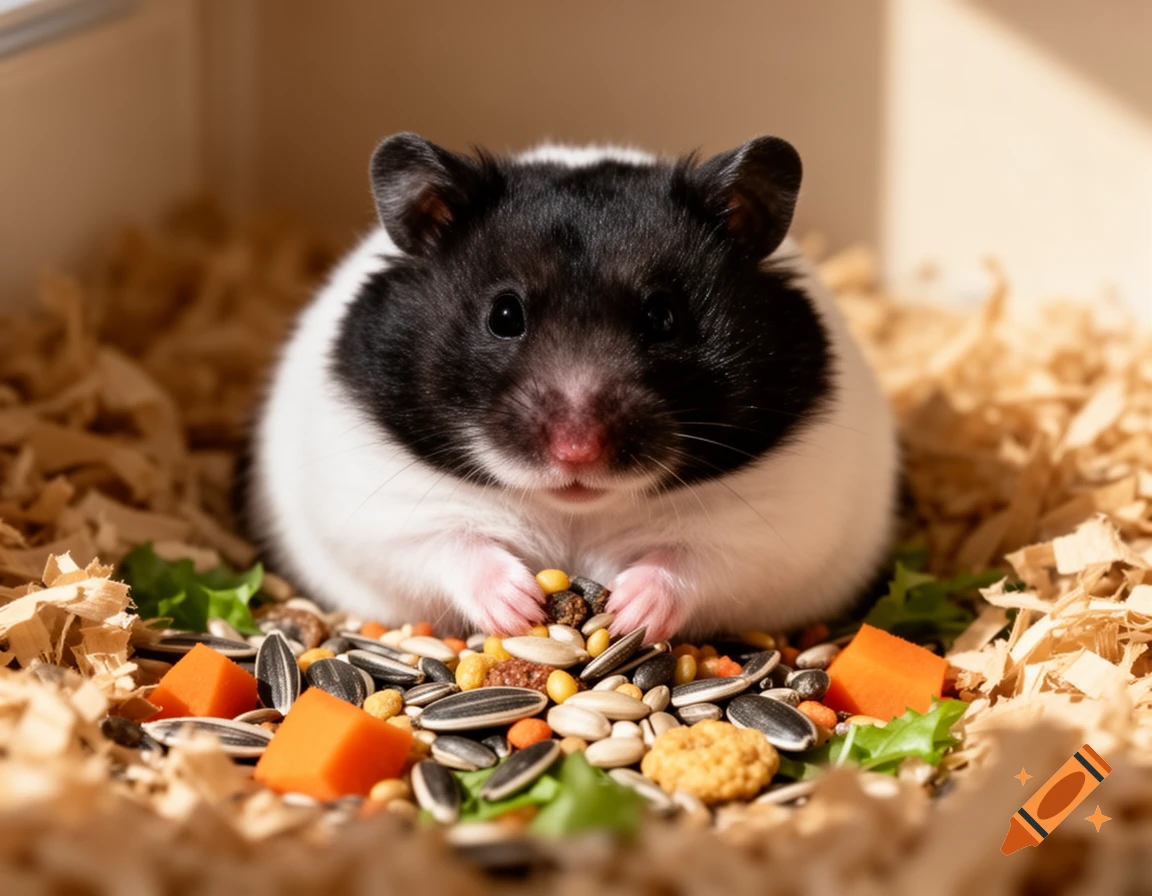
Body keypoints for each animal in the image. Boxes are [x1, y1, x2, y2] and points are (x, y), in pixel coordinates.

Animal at [247, 133, 898, 643]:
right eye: (503, 315)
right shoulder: (384, 509)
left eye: (663, 316)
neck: (574, 511)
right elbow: (449, 546)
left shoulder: (770, 530)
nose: (577, 452)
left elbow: (697, 561)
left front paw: (629, 612)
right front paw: (521, 609)